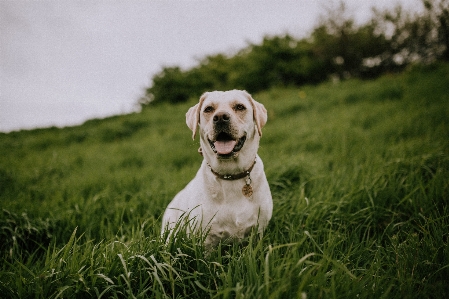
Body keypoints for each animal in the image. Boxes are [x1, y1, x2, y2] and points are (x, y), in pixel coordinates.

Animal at [162, 90, 272, 250]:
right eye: (208, 109)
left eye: (240, 107)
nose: (220, 117)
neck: (229, 175)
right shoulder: (204, 240)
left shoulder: (259, 231)